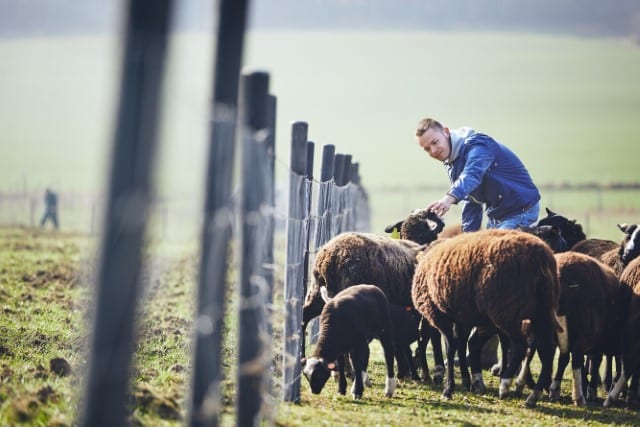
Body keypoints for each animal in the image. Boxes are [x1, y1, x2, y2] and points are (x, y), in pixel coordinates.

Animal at [410, 231, 564, 408]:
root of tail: (542, 259)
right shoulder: (463, 316)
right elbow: (461, 346)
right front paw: (466, 381)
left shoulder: (440, 314)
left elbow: (450, 348)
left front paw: (449, 389)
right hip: (541, 312)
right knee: (547, 349)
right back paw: (533, 395)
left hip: (506, 311)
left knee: (520, 345)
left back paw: (505, 384)